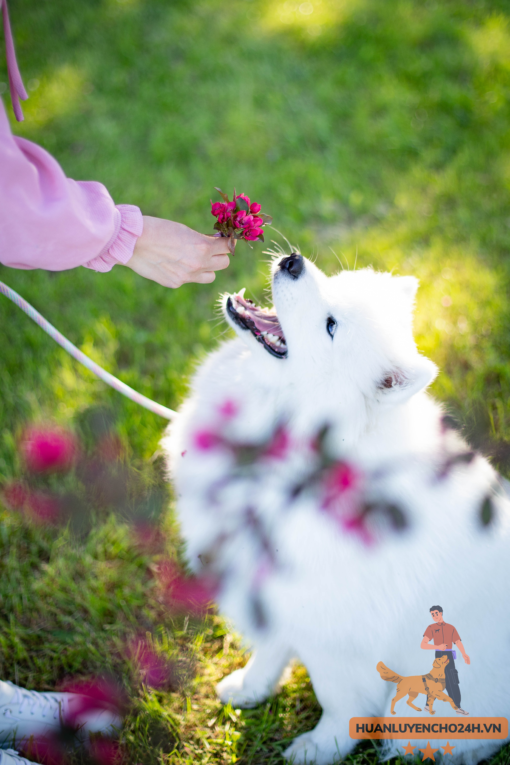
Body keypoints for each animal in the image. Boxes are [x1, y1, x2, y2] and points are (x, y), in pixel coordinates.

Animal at [164, 254, 510, 760]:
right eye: (333, 281)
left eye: (331, 326)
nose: (292, 261)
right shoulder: (272, 589)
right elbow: (270, 647)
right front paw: (250, 687)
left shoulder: (338, 633)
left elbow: (339, 700)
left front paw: (318, 748)